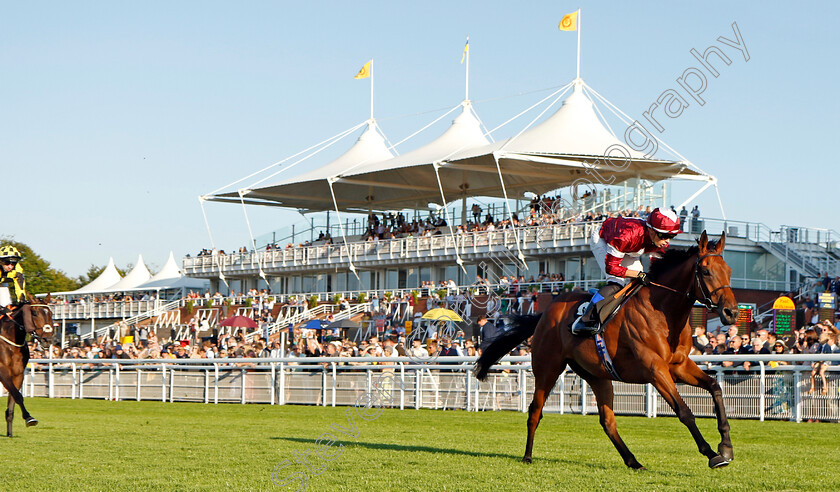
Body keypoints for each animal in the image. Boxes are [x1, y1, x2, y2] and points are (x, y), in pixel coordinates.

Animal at [0, 294, 55, 436]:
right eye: (34, 313)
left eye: (51, 313)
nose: (48, 339)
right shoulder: (2, 372)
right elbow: (18, 396)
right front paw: (29, 418)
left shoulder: (18, 374)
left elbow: (13, 401)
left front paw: (10, 433)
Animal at [476, 231, 740, 468]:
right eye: (706, 271)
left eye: (729, 271)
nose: (731, 312)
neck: (662, 311)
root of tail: (545, 313)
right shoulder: (655, 369)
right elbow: (683, 411)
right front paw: (712, 454)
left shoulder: (679, 366)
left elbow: (715, 387)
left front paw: (726, 446)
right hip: (547, 367)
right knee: (535, 411)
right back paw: (527, 456)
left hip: (598, 375)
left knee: (607, 421)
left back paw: (633, 461)